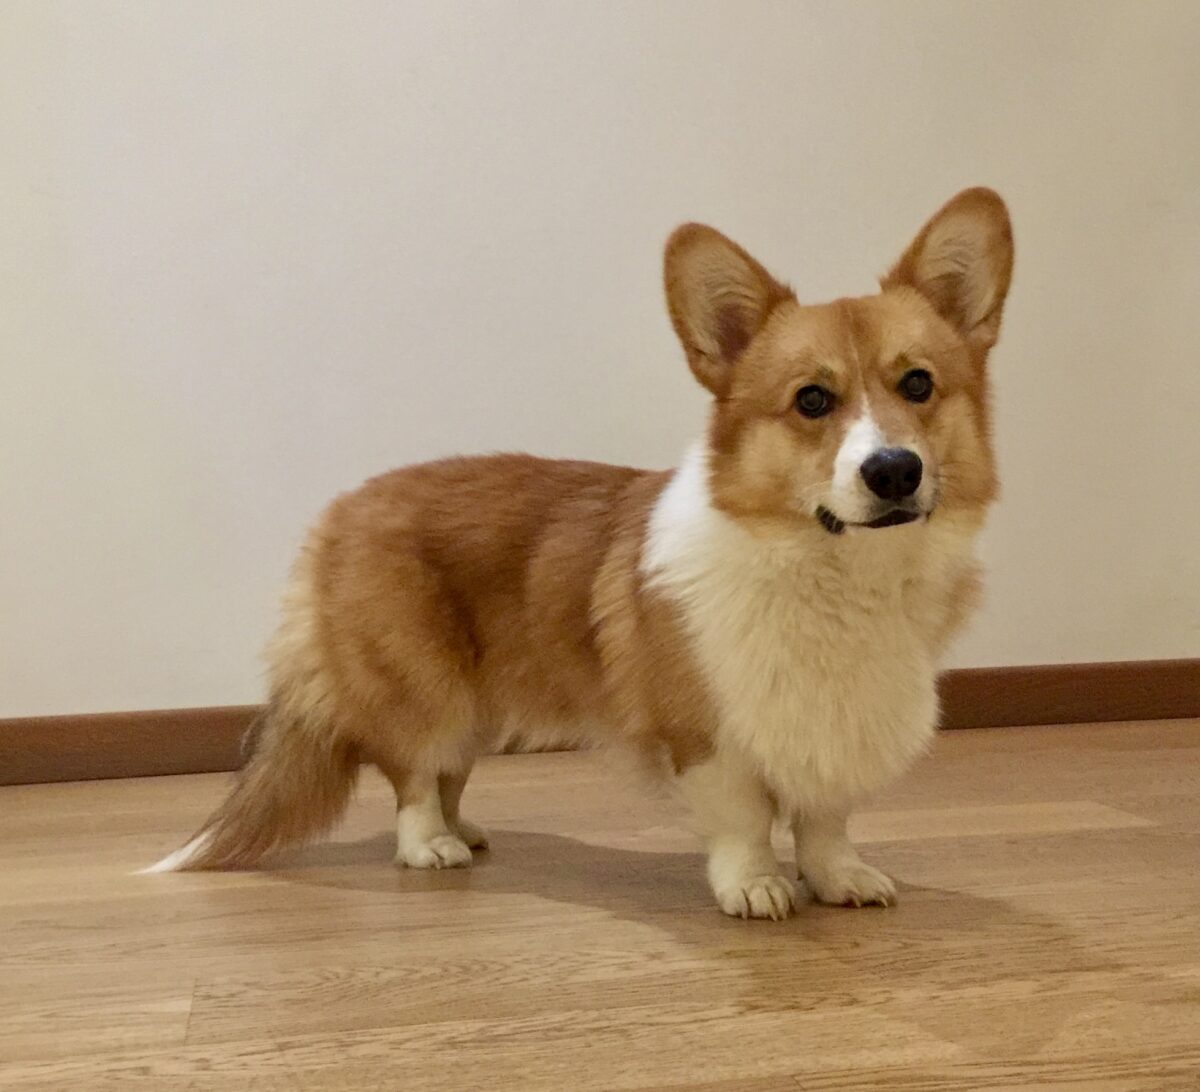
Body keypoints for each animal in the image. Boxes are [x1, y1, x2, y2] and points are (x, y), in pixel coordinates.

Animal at [149, 188, 1013, 920]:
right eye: (811, 400)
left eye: (918, 384)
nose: (894, 471)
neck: (834, 573)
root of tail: (342, 508)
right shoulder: (705, 737)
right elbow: (741, 819)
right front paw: (756, 886)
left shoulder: (832, 730)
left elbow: (826, 821)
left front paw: (838, 878)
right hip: (427, 690)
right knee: (414, 773)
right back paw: (430, 846)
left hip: (482, 701)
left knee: (450, 771)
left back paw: (468, 832)